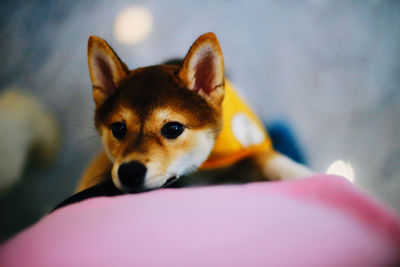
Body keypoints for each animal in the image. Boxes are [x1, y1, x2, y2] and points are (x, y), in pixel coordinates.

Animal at [76, 33, 310, 193]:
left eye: (173, 128)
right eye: (118, 128)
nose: (129, 172)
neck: (205, 169)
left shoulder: (249, 149)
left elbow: (269, 159)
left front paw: (301, 174)